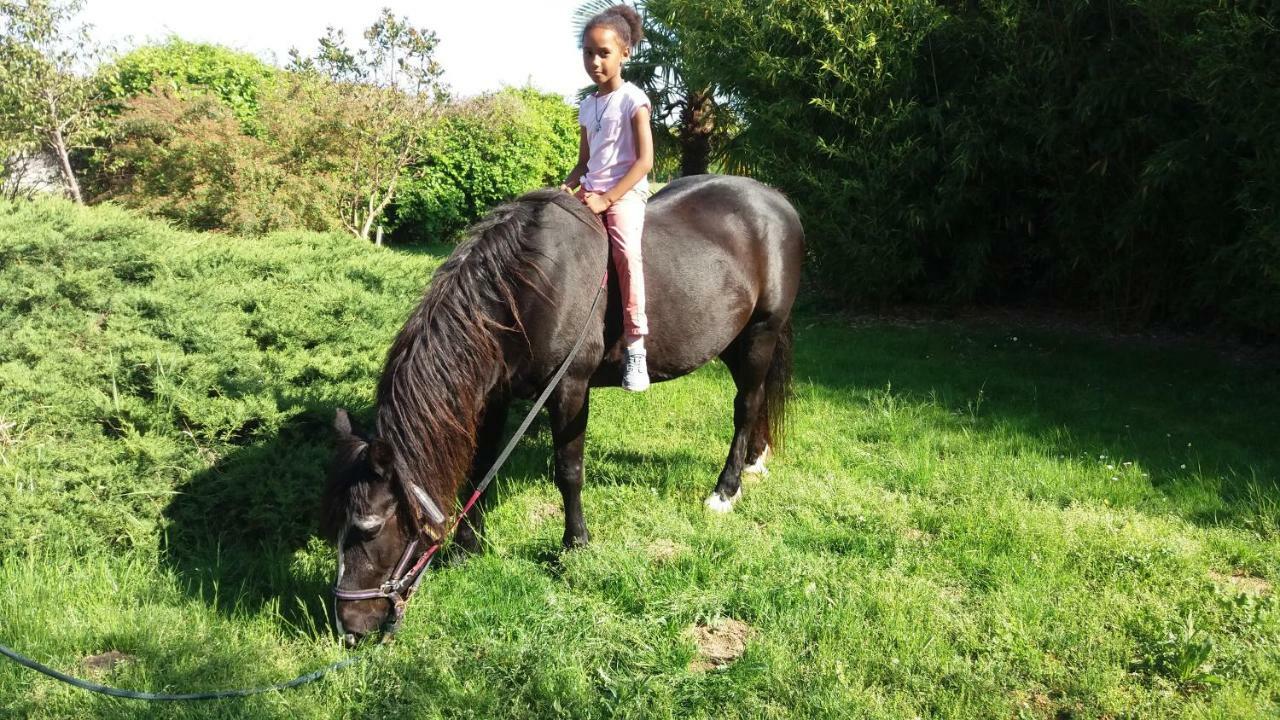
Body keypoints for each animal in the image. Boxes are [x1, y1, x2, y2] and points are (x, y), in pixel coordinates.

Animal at [322, 175, 798, 638]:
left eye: (368, 528)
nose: (348, 629)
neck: (525, 289)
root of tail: (777, 201)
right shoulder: (495, 395)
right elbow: (481, 468)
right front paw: (466, 549)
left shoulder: (570, 388)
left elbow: (568, 471)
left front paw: (575, 545)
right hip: (734, 341)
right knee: (756, 402)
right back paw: (755, 458)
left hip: (761, 333)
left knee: (745, 406)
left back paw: (726, 489)